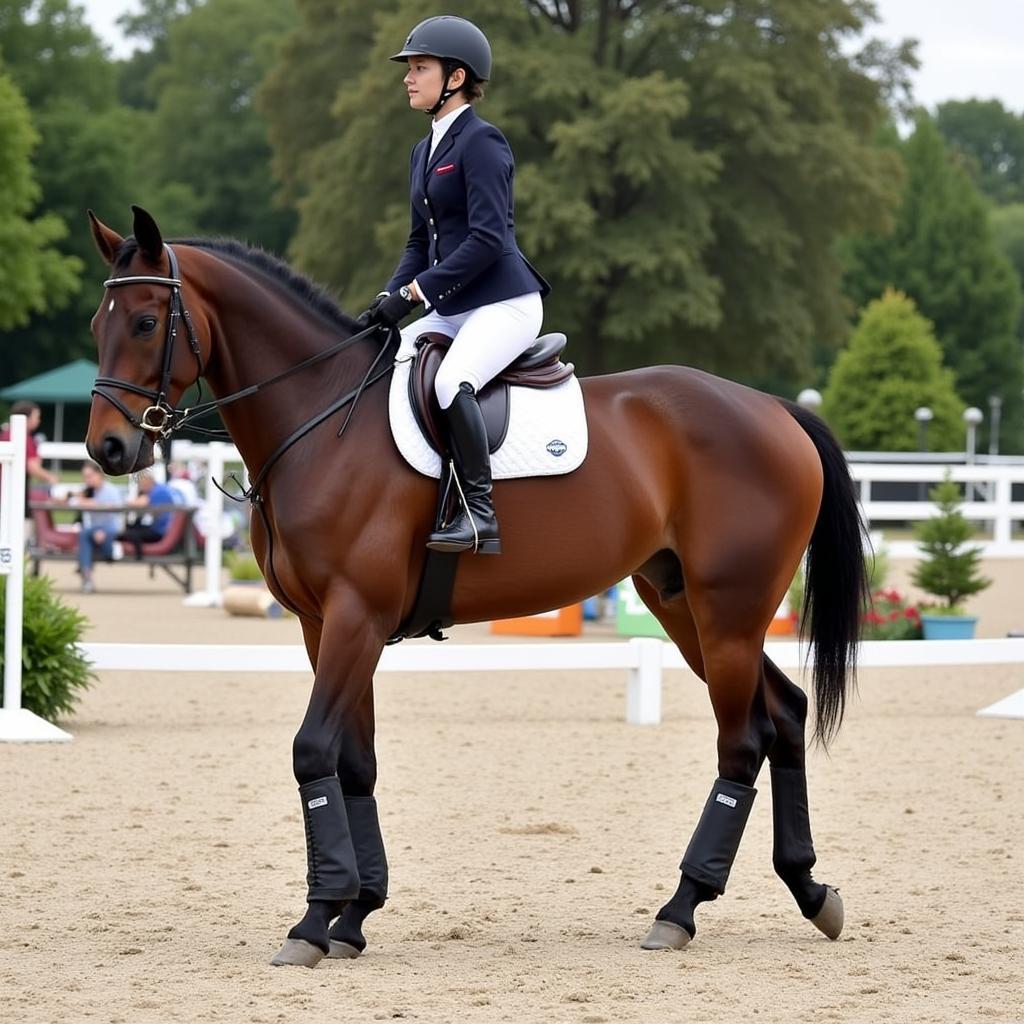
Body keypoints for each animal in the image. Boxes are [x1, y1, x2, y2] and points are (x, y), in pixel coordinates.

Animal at [86, 205, 864, 966]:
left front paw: (312, 920)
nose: (108, 449)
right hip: (682, 607)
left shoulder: (355, 617)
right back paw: (809, 889)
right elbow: (356, 764)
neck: (321, 417)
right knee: (785, 714)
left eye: (147, 323)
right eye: (98, 325)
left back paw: (680, 909)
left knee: (743, 742)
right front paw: (354, 915)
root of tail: (774, 408)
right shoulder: (325, 625)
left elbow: (312, 752)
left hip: (728, 611)